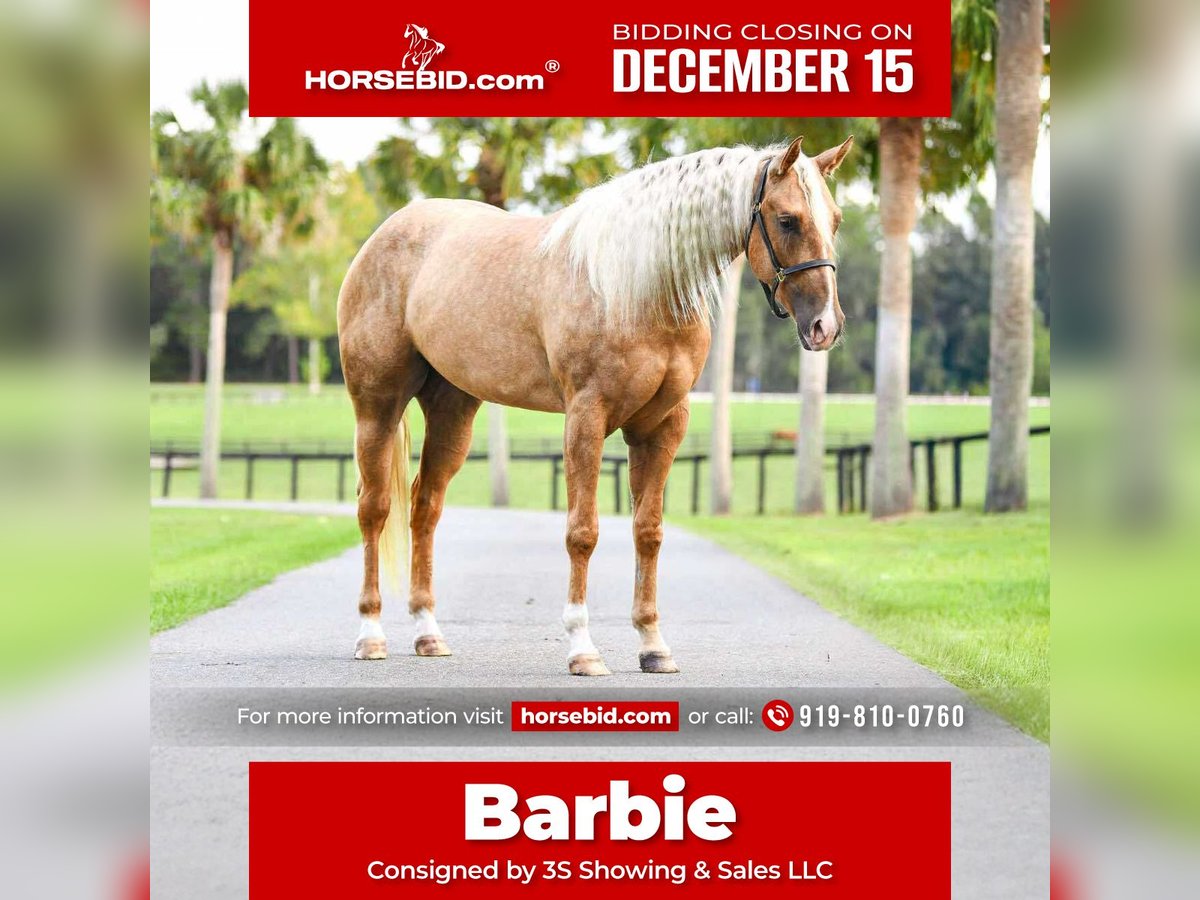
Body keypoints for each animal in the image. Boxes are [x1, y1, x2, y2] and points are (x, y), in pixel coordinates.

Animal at [337, 135, 853, 676]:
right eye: (787, 220)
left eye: (836, 219)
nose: (826, 326)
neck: (636, 287)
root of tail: (385, 234)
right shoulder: (586, 418)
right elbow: (582, 532)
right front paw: (583, 649)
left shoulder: (662, 426)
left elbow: (648, 530)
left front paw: (653, 645)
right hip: (377, 407)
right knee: (374, 508)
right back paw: (370, 635)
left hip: (452, 411)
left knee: (425, 507)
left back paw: (427, 633)